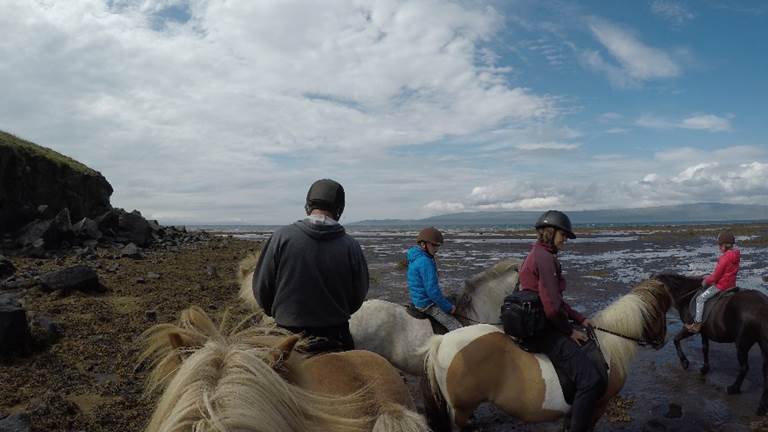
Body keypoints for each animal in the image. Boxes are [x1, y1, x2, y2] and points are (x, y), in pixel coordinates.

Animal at [420, 278, 672, 430]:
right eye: (661, 312)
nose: (663, 340)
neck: (607, 347)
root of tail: (442, 341)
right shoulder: (596, 405)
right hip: (461, 411)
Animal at [656, 274, 768, 416]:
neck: (687, 295)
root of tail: (763, 307)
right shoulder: (704, 332)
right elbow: (705, 348)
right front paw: (705, 368)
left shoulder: (690, 328)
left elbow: (676, 340)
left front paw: (685, 363)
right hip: (763, 345)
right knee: (765, 374)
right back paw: (762, 406)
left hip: (742, 344)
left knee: (744, 368)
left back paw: (733, 388)